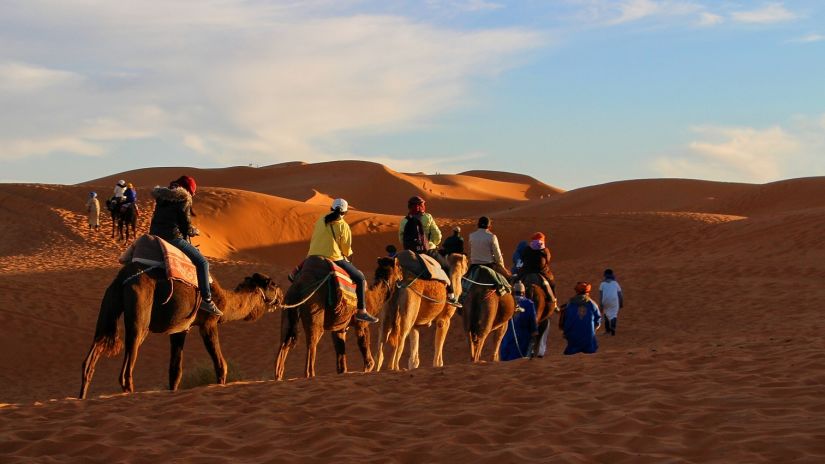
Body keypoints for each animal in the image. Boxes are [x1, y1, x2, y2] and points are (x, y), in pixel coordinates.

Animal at [79, 264, 284, 398]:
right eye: (273, 284)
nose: (282, 295)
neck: (224, 302)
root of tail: (122, 279)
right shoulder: (208, 324)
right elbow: (221, 365)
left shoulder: (180, 329)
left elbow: (175, 370)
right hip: (140, 314)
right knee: (127, 366)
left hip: (109, 306)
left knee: (93, 354)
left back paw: (82, 397)